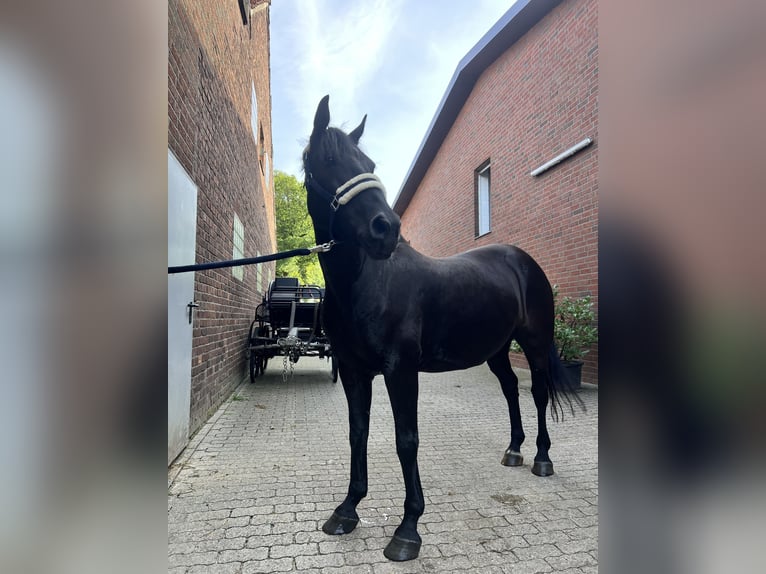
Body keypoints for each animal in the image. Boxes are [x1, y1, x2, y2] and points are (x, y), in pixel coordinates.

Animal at [302, 95, 579, 561]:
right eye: (329, 159)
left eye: (368, 162)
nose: (386, 228)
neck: (366, 282)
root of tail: (524, 261)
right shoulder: (355, 372)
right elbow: (358, 433)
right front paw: (347, 509)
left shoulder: (401, 370)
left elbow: (406, 439)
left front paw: (408, 529)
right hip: (497, 350)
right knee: (510, 389)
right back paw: (514, 449)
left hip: (536, 343)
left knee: (538, 393)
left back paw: (542, 458)